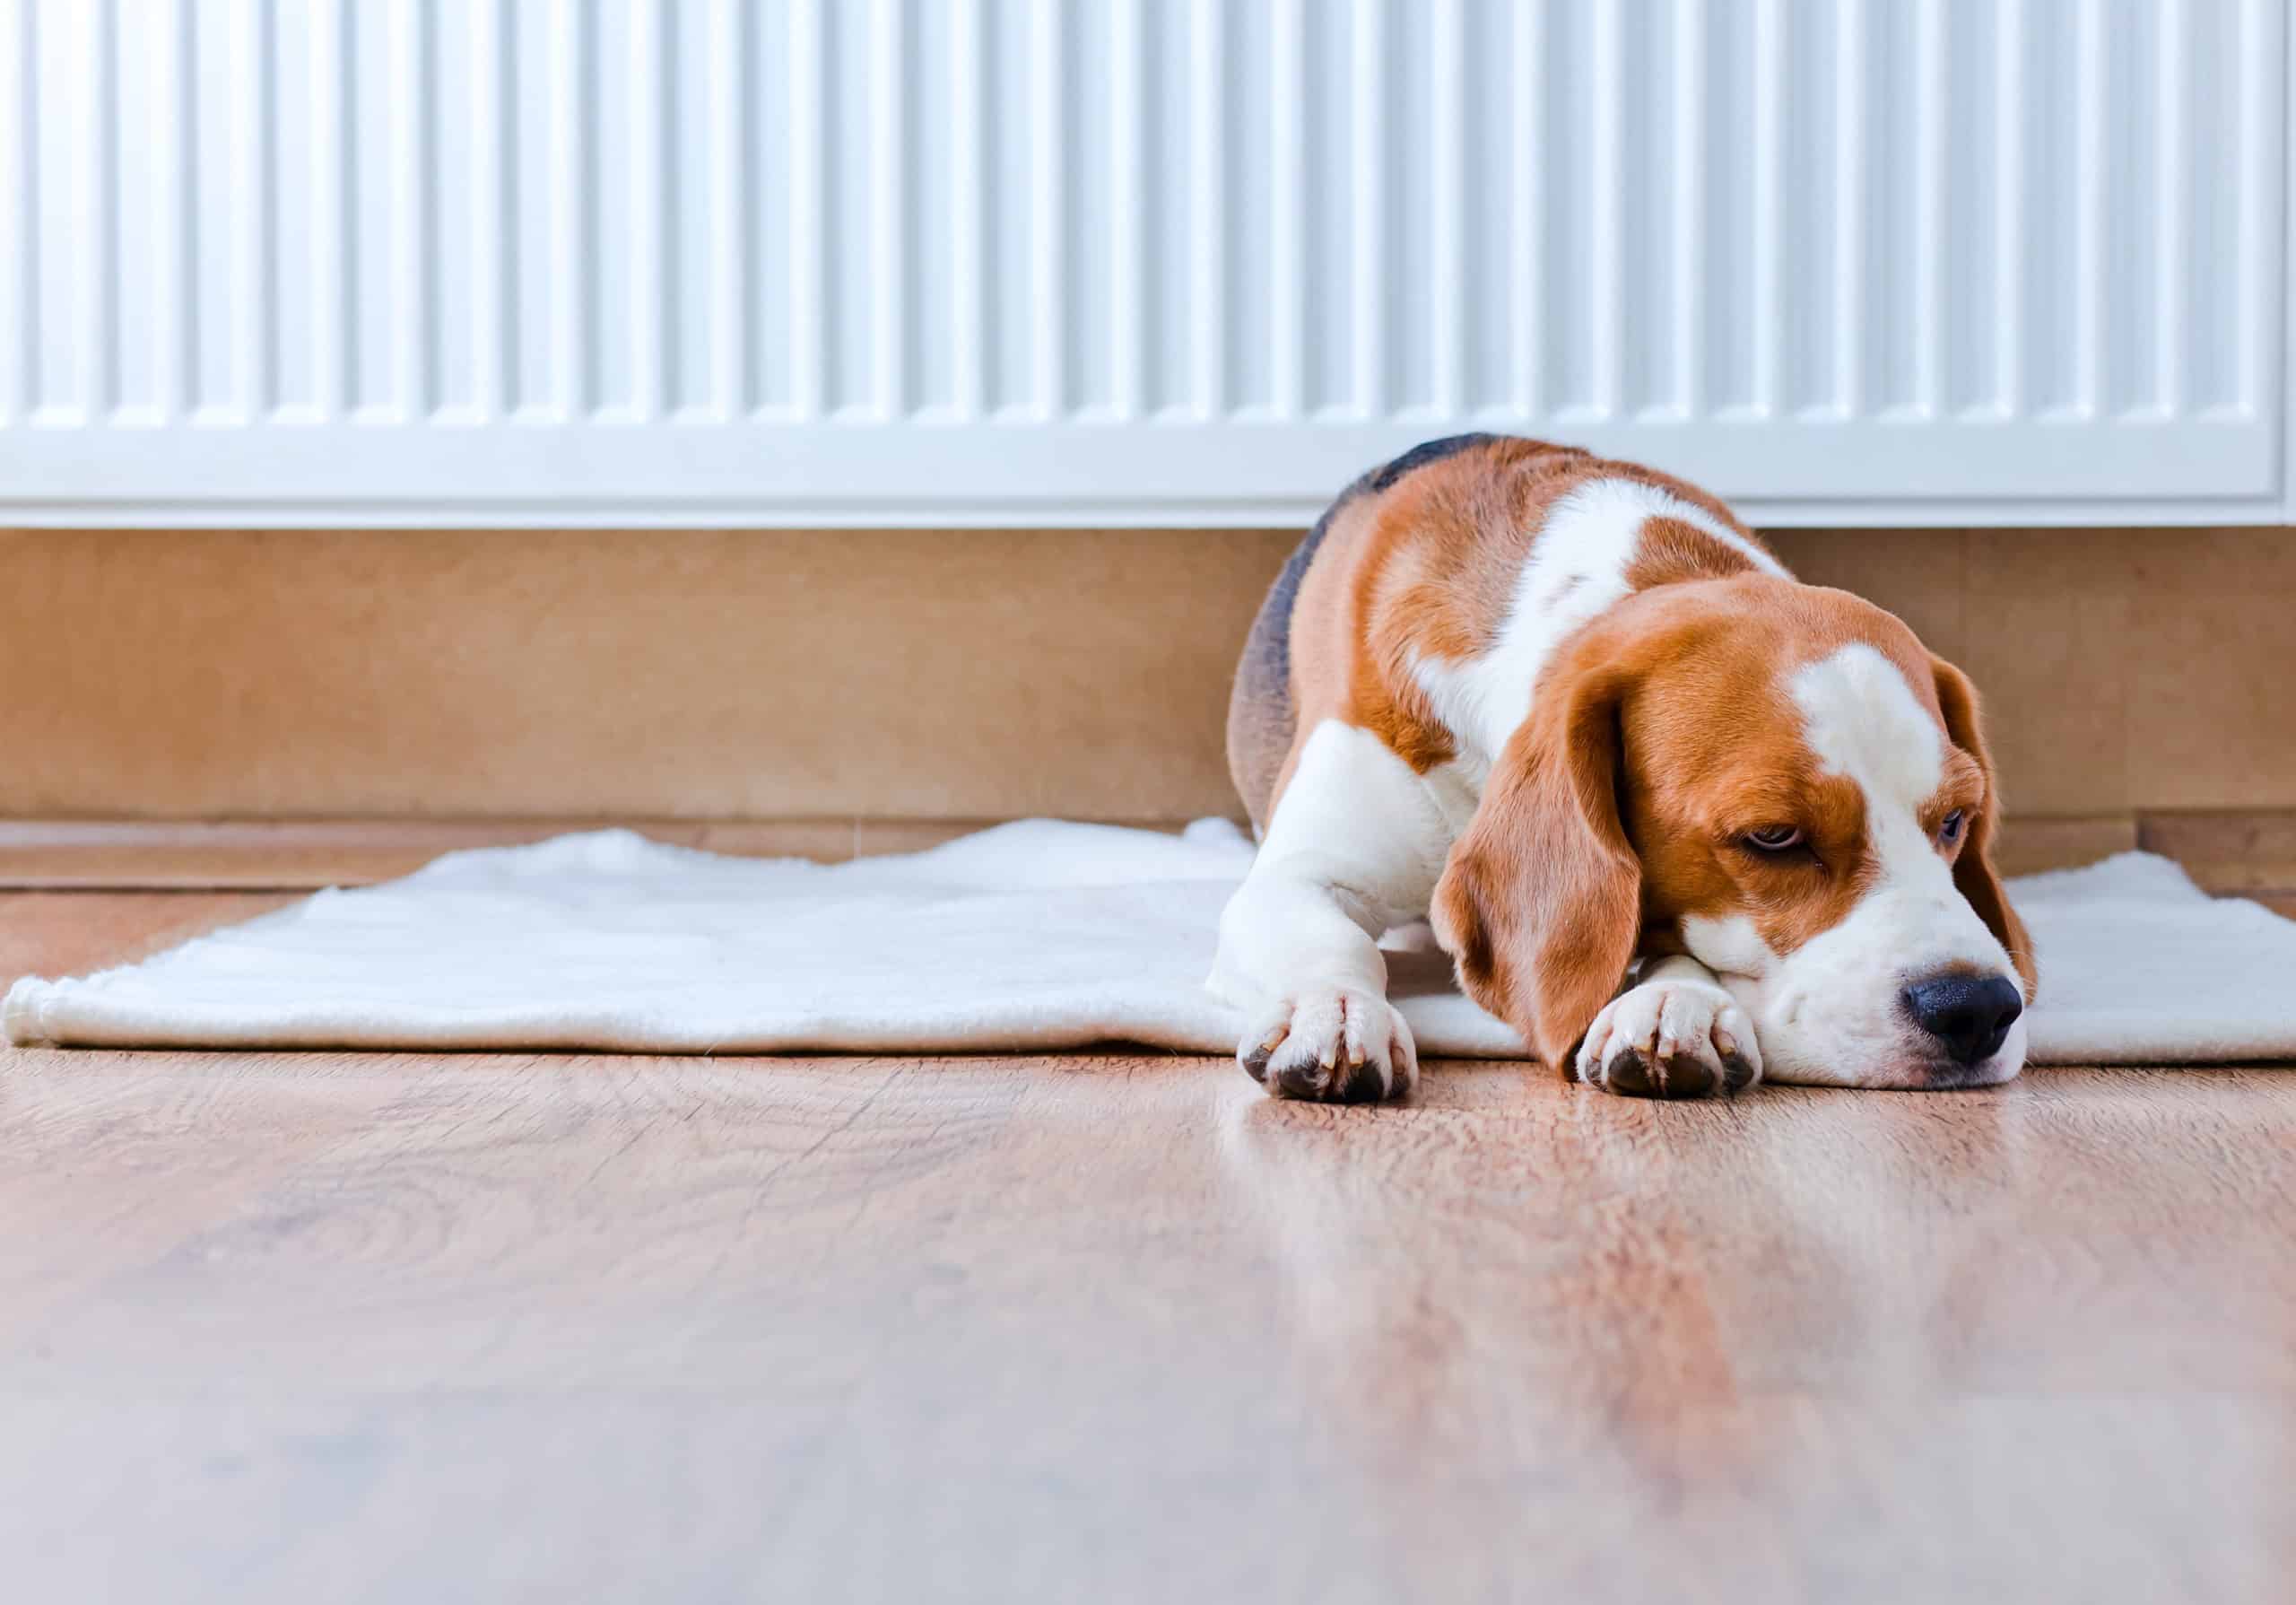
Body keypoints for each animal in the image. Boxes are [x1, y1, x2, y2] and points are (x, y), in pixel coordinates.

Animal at [1212, 433, 2039, 1097]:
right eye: (1773, 837)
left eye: (1956, 819)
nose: (1978, 1009)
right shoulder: (1300, 873)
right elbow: (1333, 939)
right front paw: (1334, 1012)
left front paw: (1675, 1004)